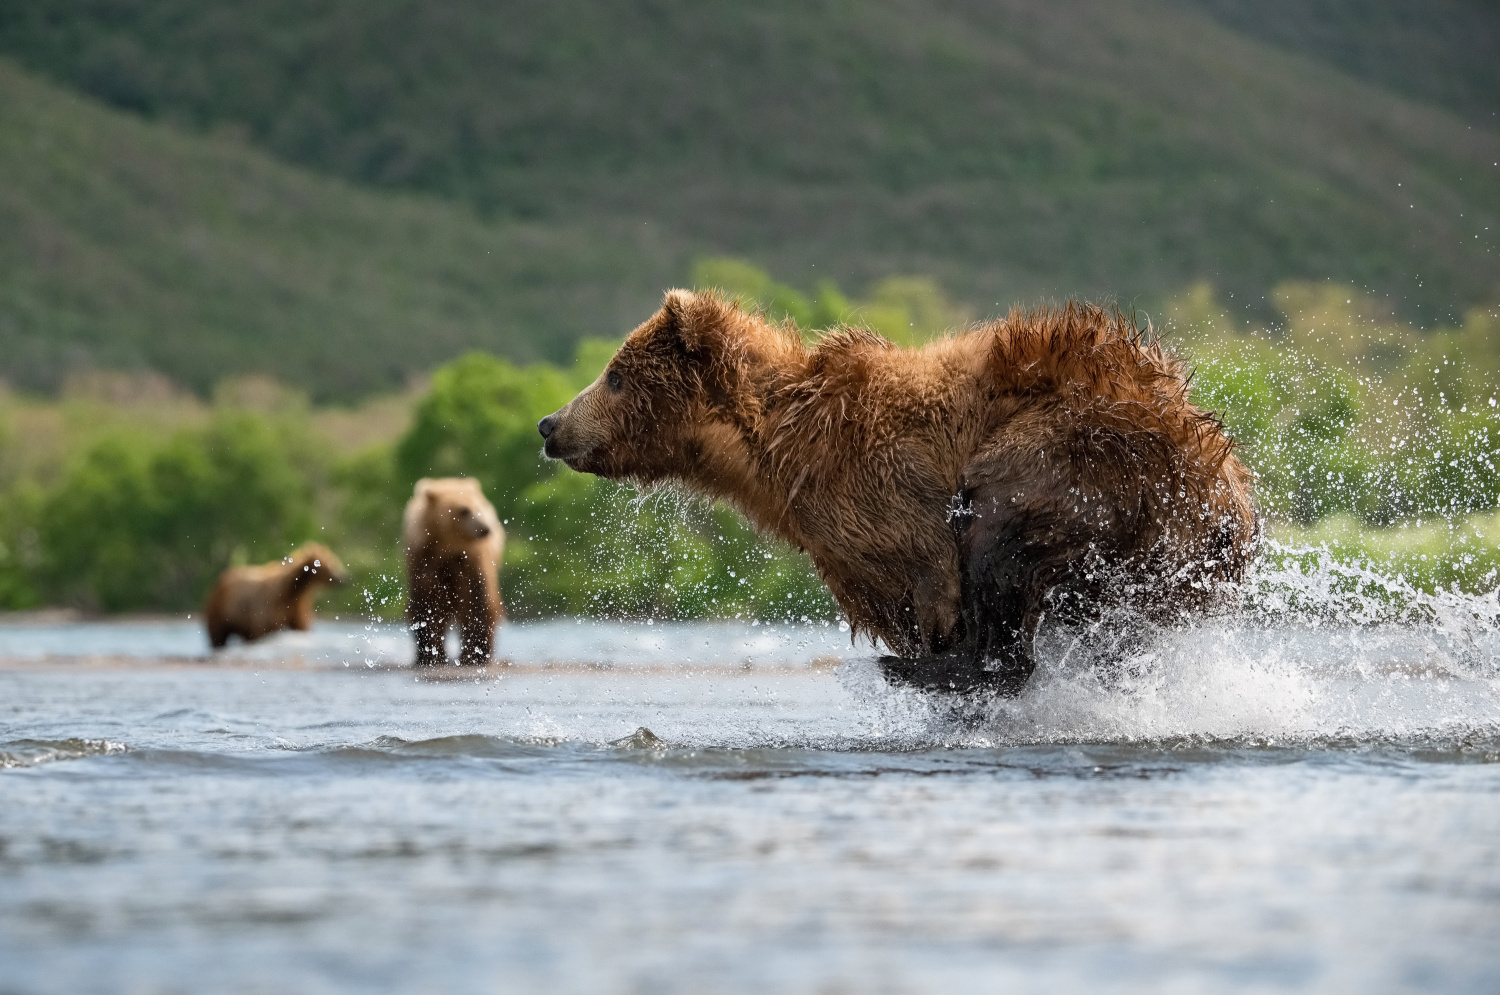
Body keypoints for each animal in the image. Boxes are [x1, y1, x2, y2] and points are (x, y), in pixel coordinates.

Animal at [205, 540, 348, 651]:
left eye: (334, 560)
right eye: (329, 563)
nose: (343, 578)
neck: (291, 593)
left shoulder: (297, 610)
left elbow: (302, 627)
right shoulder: (266, 614)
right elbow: (263, 630)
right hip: (220, 612)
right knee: (217, 636)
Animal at [402, 477, 507, 666]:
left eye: (478, 507)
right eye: (463, 510)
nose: (485, 529)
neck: (448, 547)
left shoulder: (473, 562)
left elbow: (478, 603)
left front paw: (474, 654)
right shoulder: (424, 562)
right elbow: (426, 607)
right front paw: (431, 655)